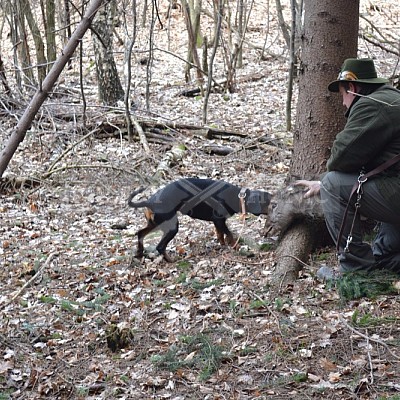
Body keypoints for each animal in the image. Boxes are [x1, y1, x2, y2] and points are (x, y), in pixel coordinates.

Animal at [128, 179, 272, 262]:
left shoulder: (217, 222)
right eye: (270, 201)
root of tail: (149, 201)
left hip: (156, 223)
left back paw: (139, 253)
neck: (238, 196)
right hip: (171, 226)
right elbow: (230, 234)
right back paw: (171, 260)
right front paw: (234, 247)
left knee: (140, 233)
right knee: (160, 246)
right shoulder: (219, 220)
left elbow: (220, 235)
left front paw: (223, 246)